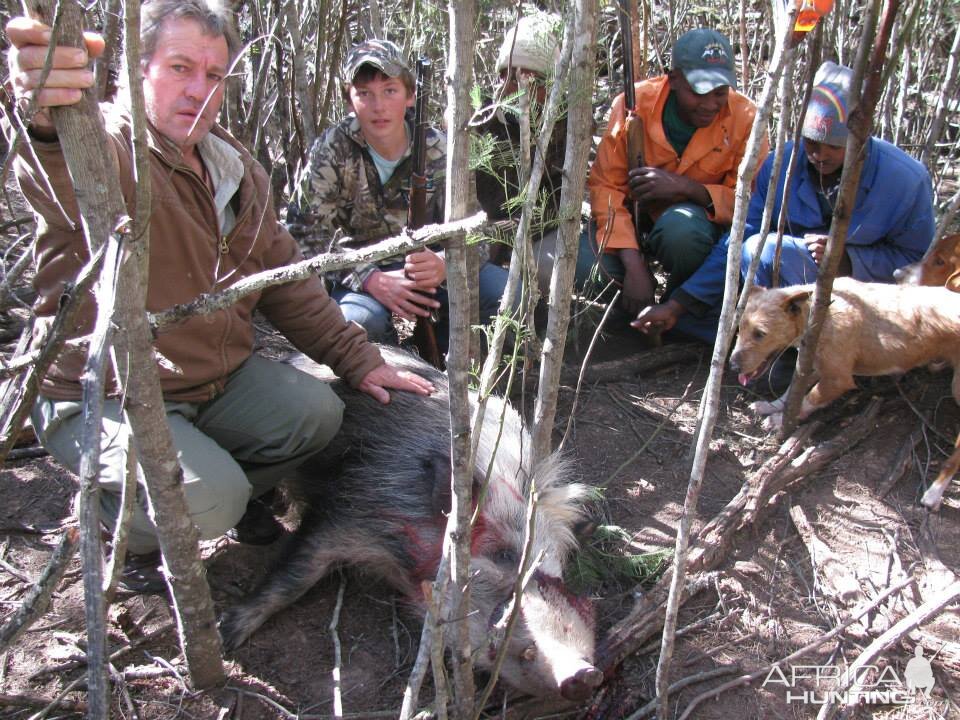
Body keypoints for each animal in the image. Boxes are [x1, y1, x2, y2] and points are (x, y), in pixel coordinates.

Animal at [732, 278, 960, 510]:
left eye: (760, 333)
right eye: (739, 328)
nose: (732, 365)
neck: (818, 314)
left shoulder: (837, 378)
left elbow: (809, 399)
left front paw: (778, 420)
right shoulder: (813, 365)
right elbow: (791, 392)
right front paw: (770, 406)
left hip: (957, 387)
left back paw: (934, 493)